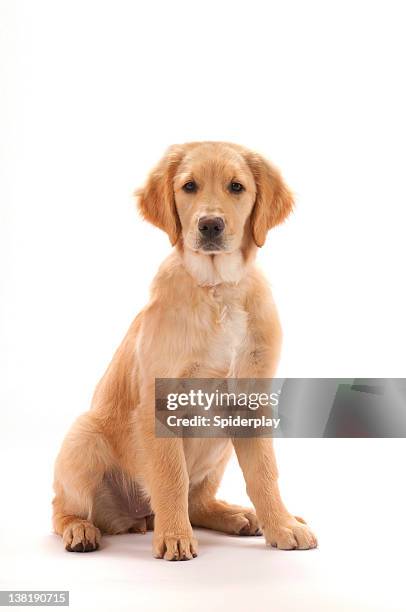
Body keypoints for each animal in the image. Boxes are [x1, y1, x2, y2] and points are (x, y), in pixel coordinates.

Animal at [52, 142, 318, 560]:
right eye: (189, 186)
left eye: (236, 187)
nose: (210, 225)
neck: (217, 288)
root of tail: (137, 518)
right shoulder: (160, 405)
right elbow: (170, 475)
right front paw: (175, 536)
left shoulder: (252, 403)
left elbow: (264, 474)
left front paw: (282, 524)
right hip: (82, 436)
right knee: (61, 508)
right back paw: (80, 529)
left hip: (219, 449)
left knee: (198, 502)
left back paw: (238, 515)